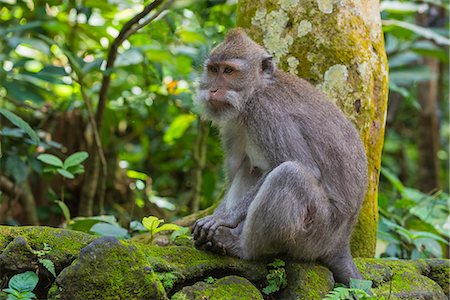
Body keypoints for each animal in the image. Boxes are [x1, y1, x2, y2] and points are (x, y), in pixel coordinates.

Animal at [192, 28, 368, 286]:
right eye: (213, 70)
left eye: (229, 71)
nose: (213, 90)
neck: (254, 92)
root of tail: (340, 243)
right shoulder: (233, 126)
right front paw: (218, 216)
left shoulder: (265, 112)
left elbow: (302, 166)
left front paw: (224, 219)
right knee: (251, 167)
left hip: (315, 234)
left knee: (290, 174)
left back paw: (241, 246)